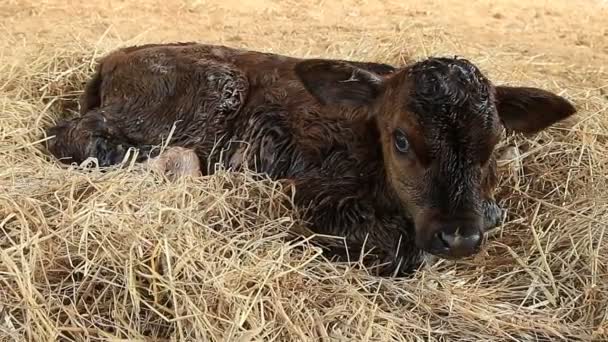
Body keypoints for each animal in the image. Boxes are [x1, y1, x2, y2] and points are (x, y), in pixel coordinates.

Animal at [45, 42, 576, 276]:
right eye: (401, 139)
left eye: (492, 141)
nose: (459, 237)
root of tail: (113, 58)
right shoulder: (315, 191)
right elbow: (399, 253)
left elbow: (493, 211)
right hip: (197, 100)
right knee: (72, 134)